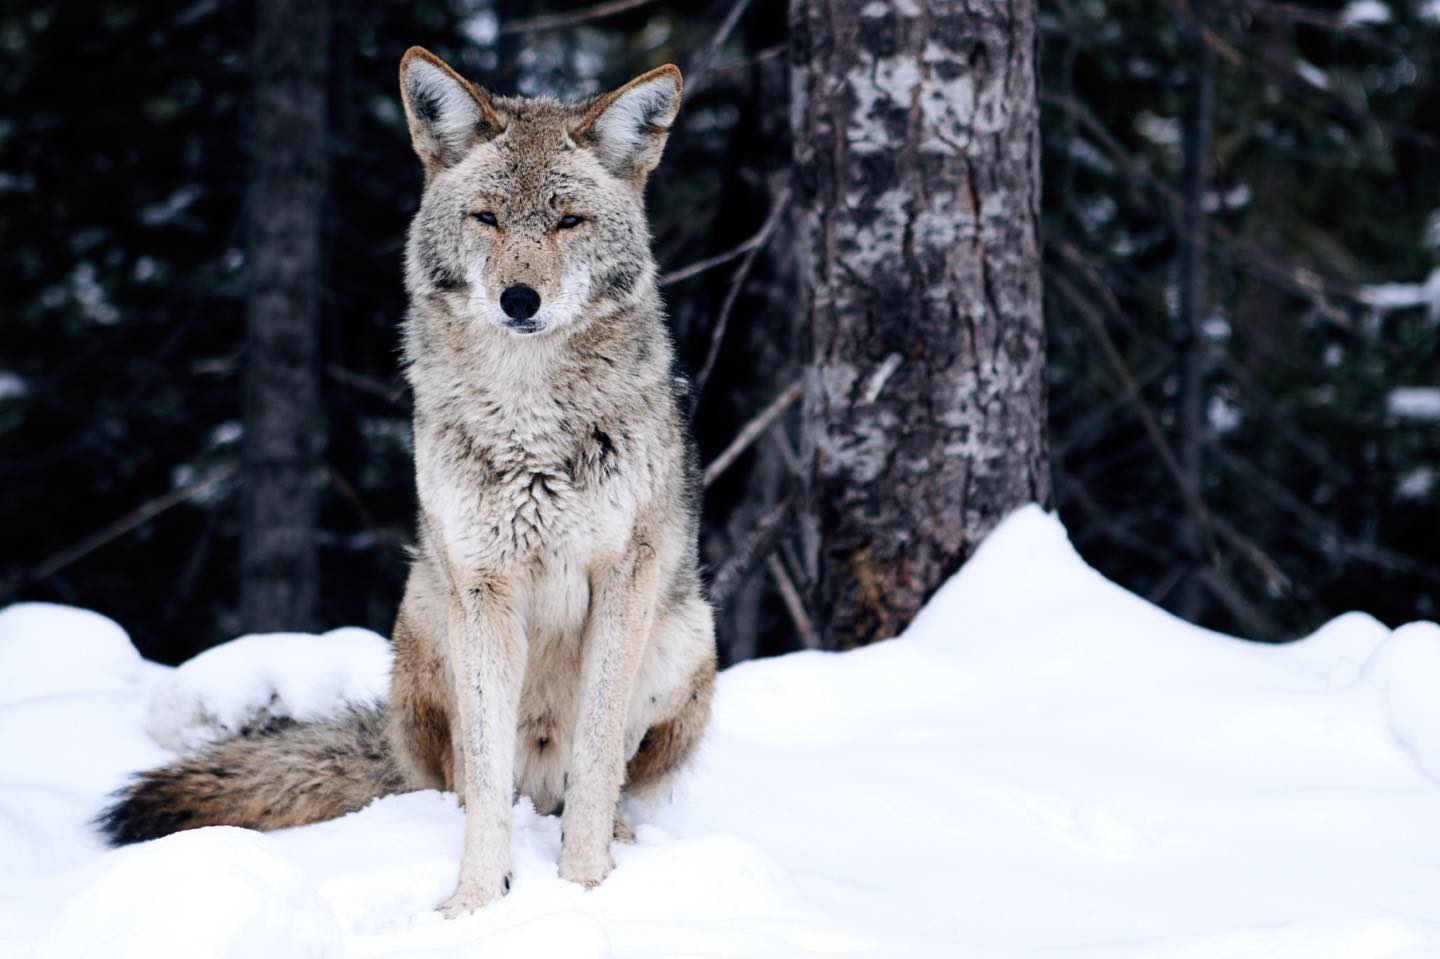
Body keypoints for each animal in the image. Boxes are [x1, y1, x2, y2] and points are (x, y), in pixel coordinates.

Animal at [99, 46, 716, 917]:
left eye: (569, 221)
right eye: (487, 218)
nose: (518, 299)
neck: (529, 419)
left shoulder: (625, 578)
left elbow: (597, 760)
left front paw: (585, 886)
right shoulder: (483, 587)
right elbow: (485, 782)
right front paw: (475, 906)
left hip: (684, 635)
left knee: (596, 779)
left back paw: (618, 836)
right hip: (429, 617)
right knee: (469, 782)